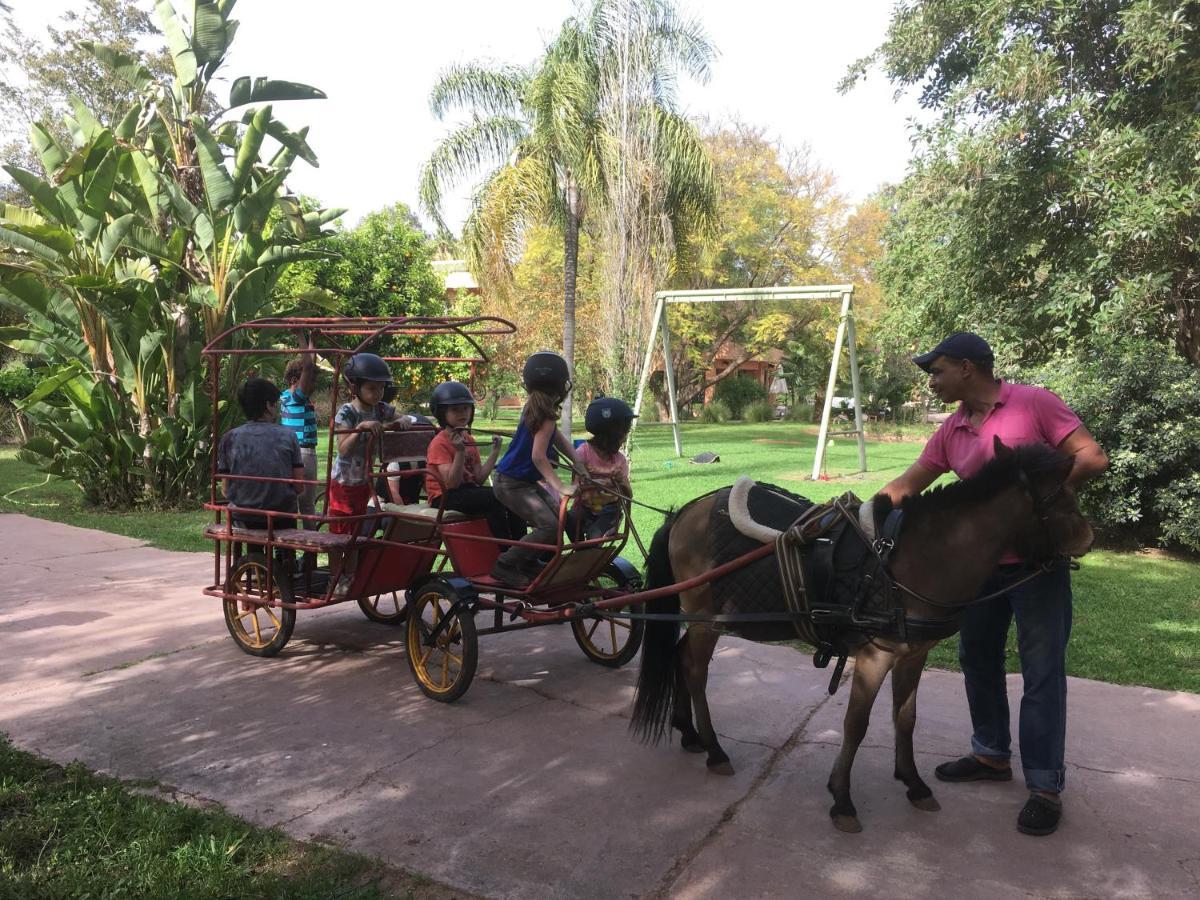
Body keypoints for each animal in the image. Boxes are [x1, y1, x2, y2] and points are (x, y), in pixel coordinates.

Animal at [628, 436, 1099, 830]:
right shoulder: (875, 657)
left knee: (680, 658)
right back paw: (713, 748)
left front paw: (913, 783)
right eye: (1062, 497)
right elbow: (856, 724)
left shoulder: (913, 655)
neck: (911, 560)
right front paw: (842, 798)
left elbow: (905, 719)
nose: (1089, 537)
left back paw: (688, 733)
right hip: (706, 618)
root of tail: (683, 513)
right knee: (694, 670)